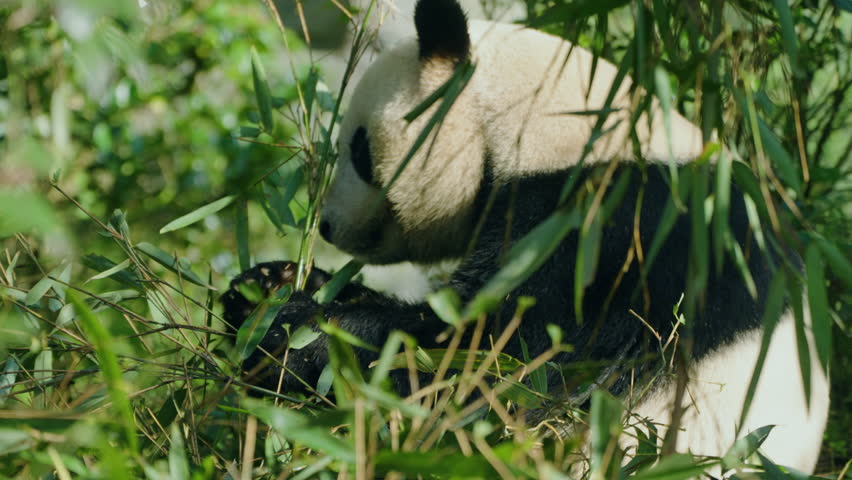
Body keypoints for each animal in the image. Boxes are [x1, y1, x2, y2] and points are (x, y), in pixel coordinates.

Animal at [222, 0, 829, 472]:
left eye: (358, 148)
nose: (326, 224)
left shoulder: (613, 229)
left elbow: (496, 357)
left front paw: (302, 333)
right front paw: (266, 286)